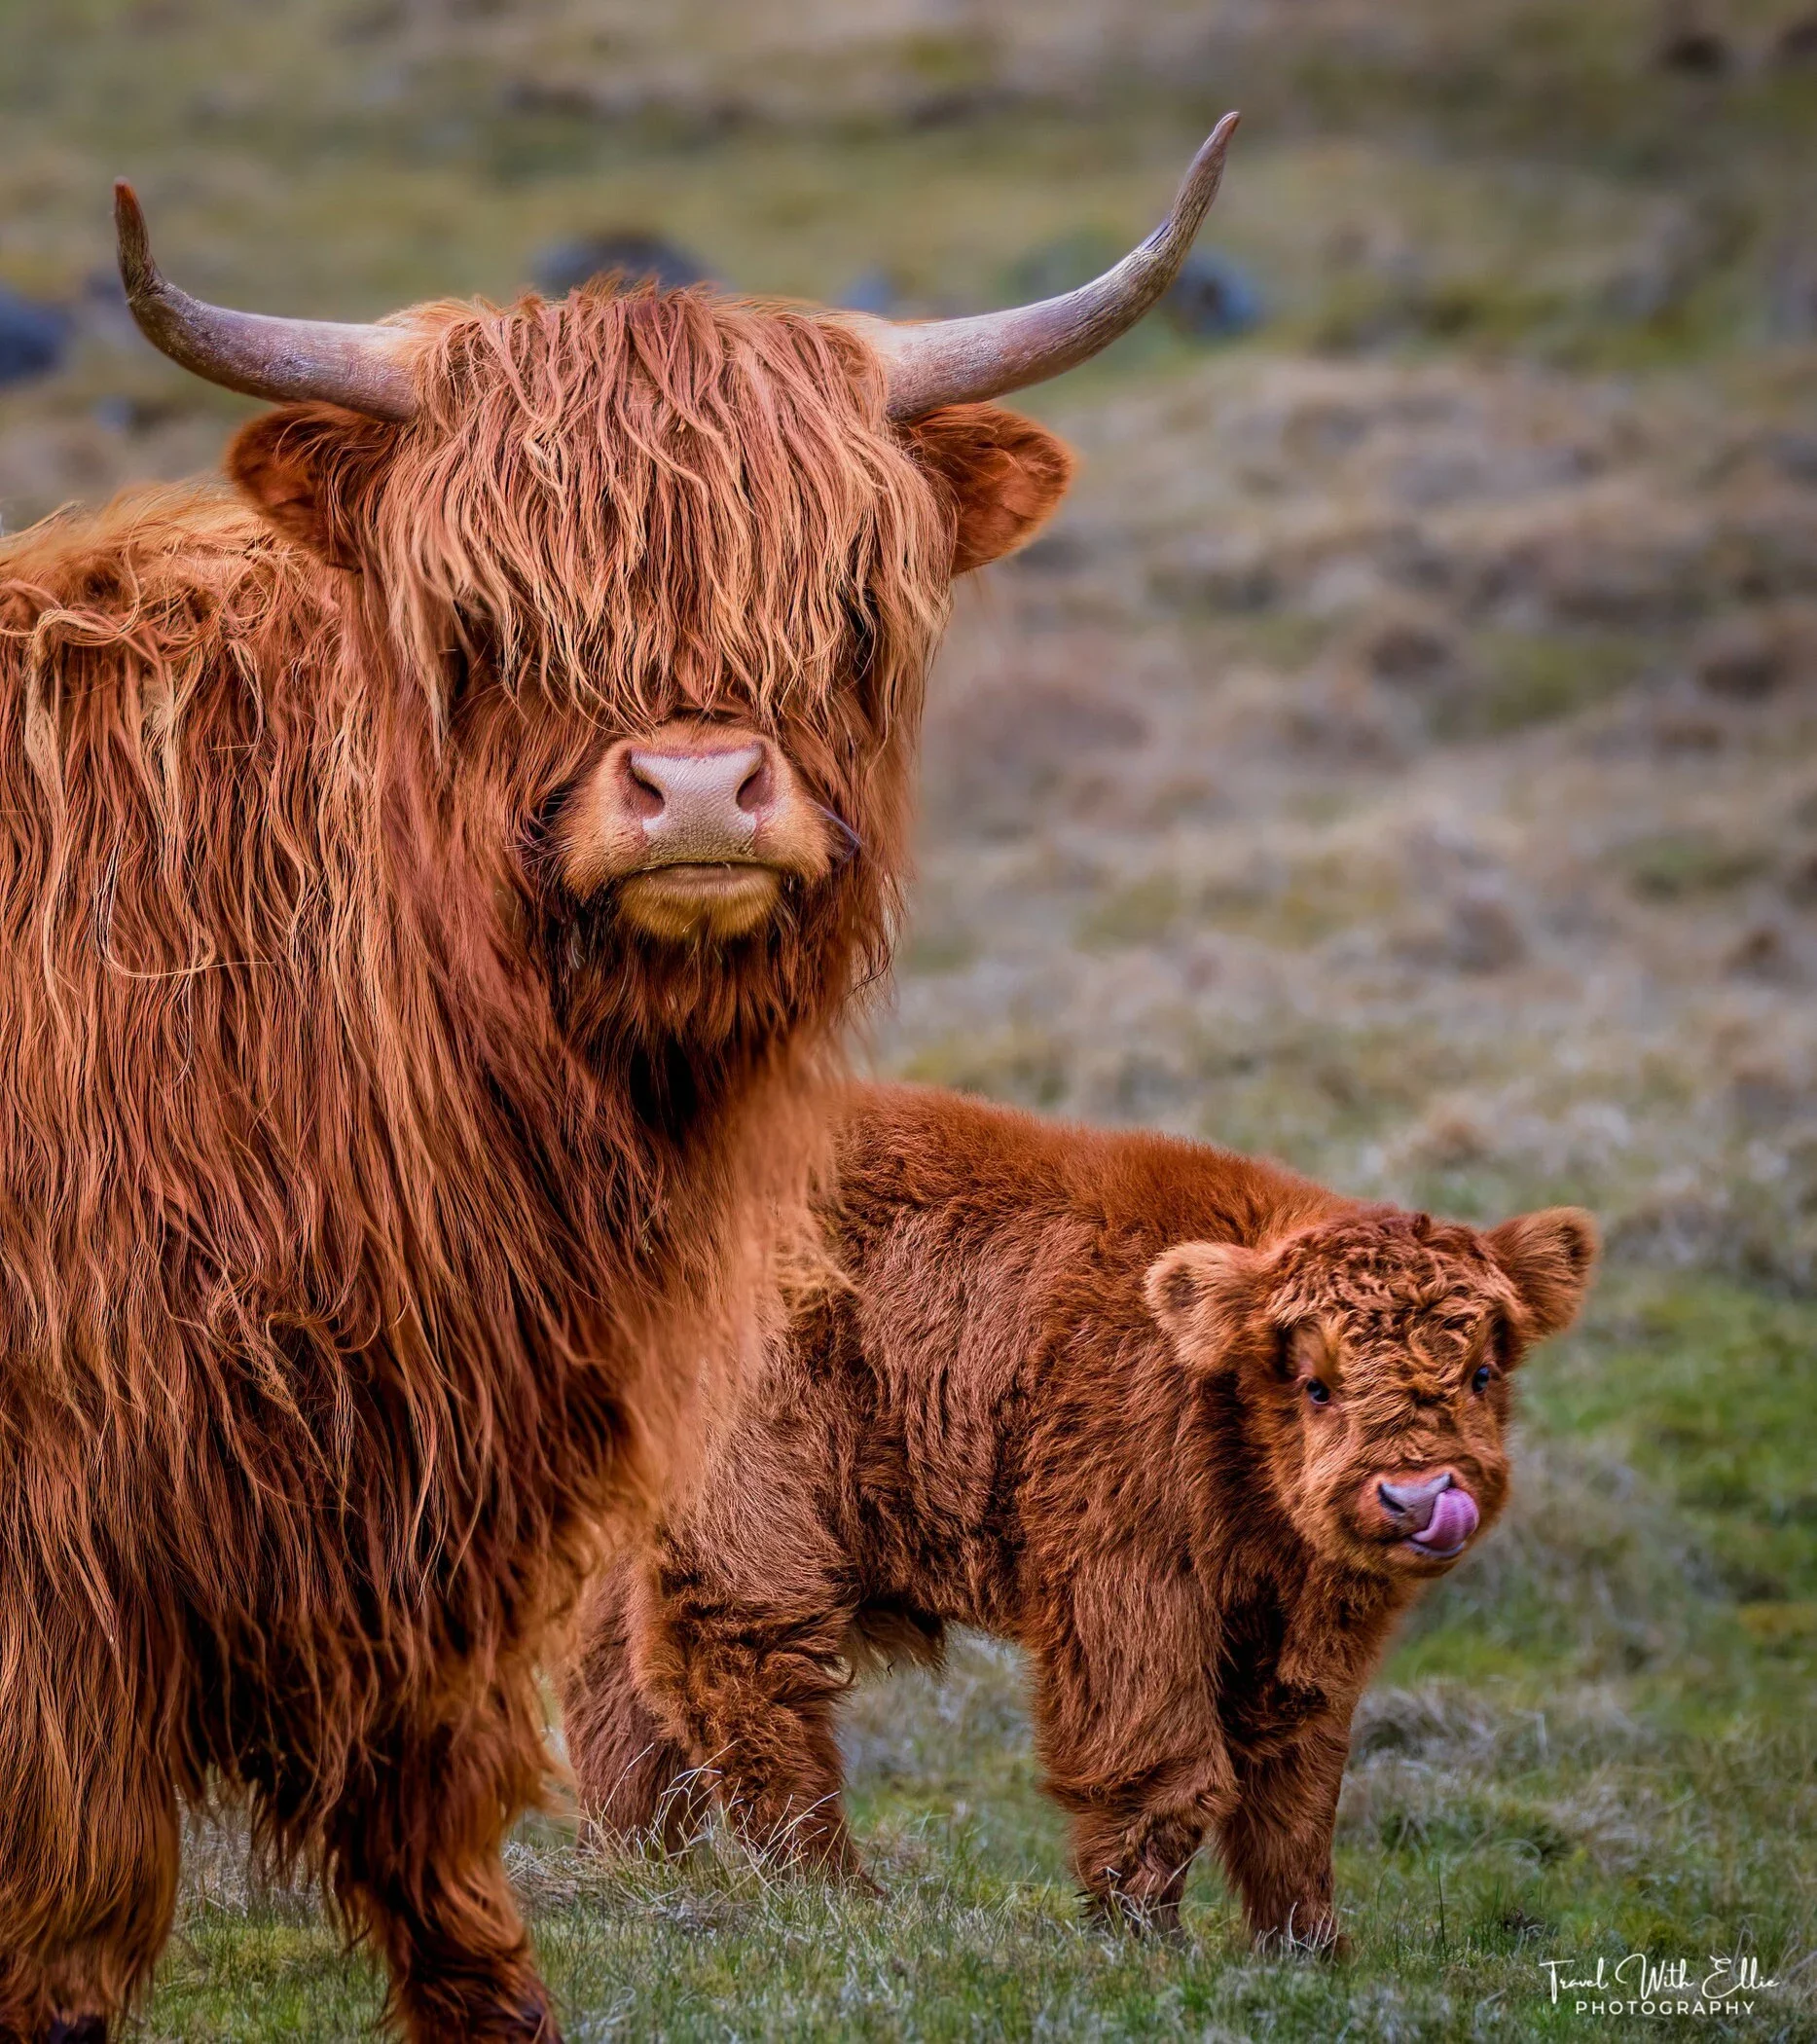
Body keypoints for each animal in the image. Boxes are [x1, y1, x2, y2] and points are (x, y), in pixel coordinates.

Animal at [0, 119, 1239, 2044]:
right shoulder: (75, 1547)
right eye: (490, 615)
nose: (702, 790)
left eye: (846, 604)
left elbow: (436, 1833)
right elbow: (72, 1892)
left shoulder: (426, 1502)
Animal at [562, 1082, 1597, 1949]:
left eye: (1481, 1373)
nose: (1417, 1495)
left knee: (616, 1686)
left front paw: (1306, 1949)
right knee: (741, 1669)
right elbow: (1165, 1766)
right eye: (1313, 1382)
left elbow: (1296, 1794)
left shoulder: (1311, 1636)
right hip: (748, 1506)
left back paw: (642, 1866)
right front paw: (1143, 1939)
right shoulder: (1126, 1585)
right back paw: (833, 1893)